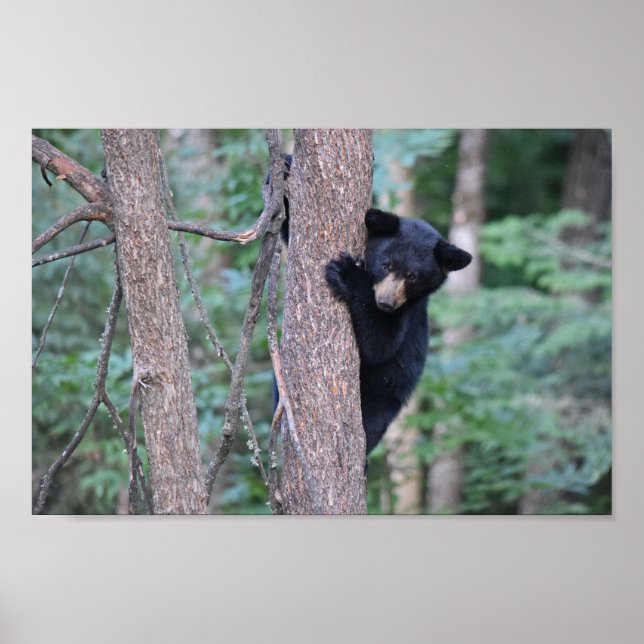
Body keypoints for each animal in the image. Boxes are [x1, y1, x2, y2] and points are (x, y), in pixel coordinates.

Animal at [325, 208, 472, 455]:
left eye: (413, 276)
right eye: (386, 265)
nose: (385, 302)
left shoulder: (406, 313)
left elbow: (380, 344)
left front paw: (347, 273)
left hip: (383, 396)